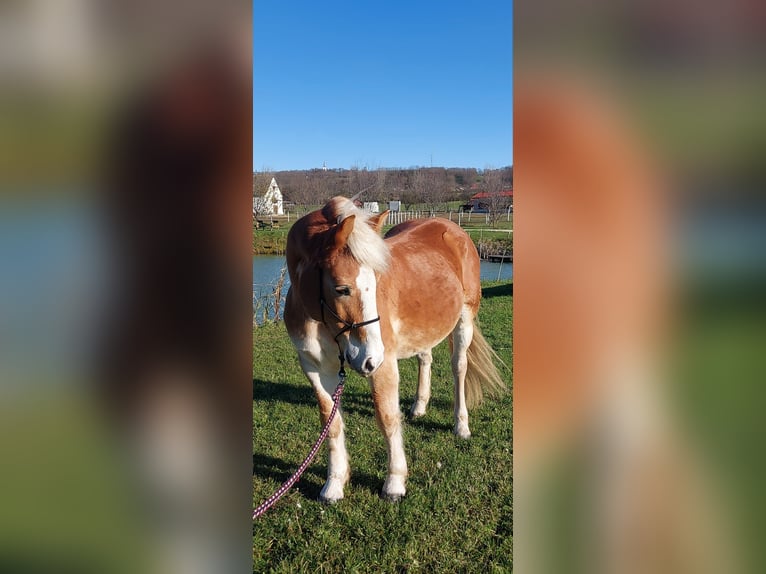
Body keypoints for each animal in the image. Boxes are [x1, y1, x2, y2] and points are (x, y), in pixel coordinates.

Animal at [284, 198, 508, 504]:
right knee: (425, 358)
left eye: (376, 282)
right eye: (342, 289)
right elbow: (331, 423)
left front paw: (394, 483)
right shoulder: (316, 370)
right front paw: (334, 484)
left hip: (464, 321)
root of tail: (453, 229)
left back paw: (461, 425)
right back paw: (419, 407)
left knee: (458, 368)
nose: (369, 358)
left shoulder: (384, 366)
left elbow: (387, 419)